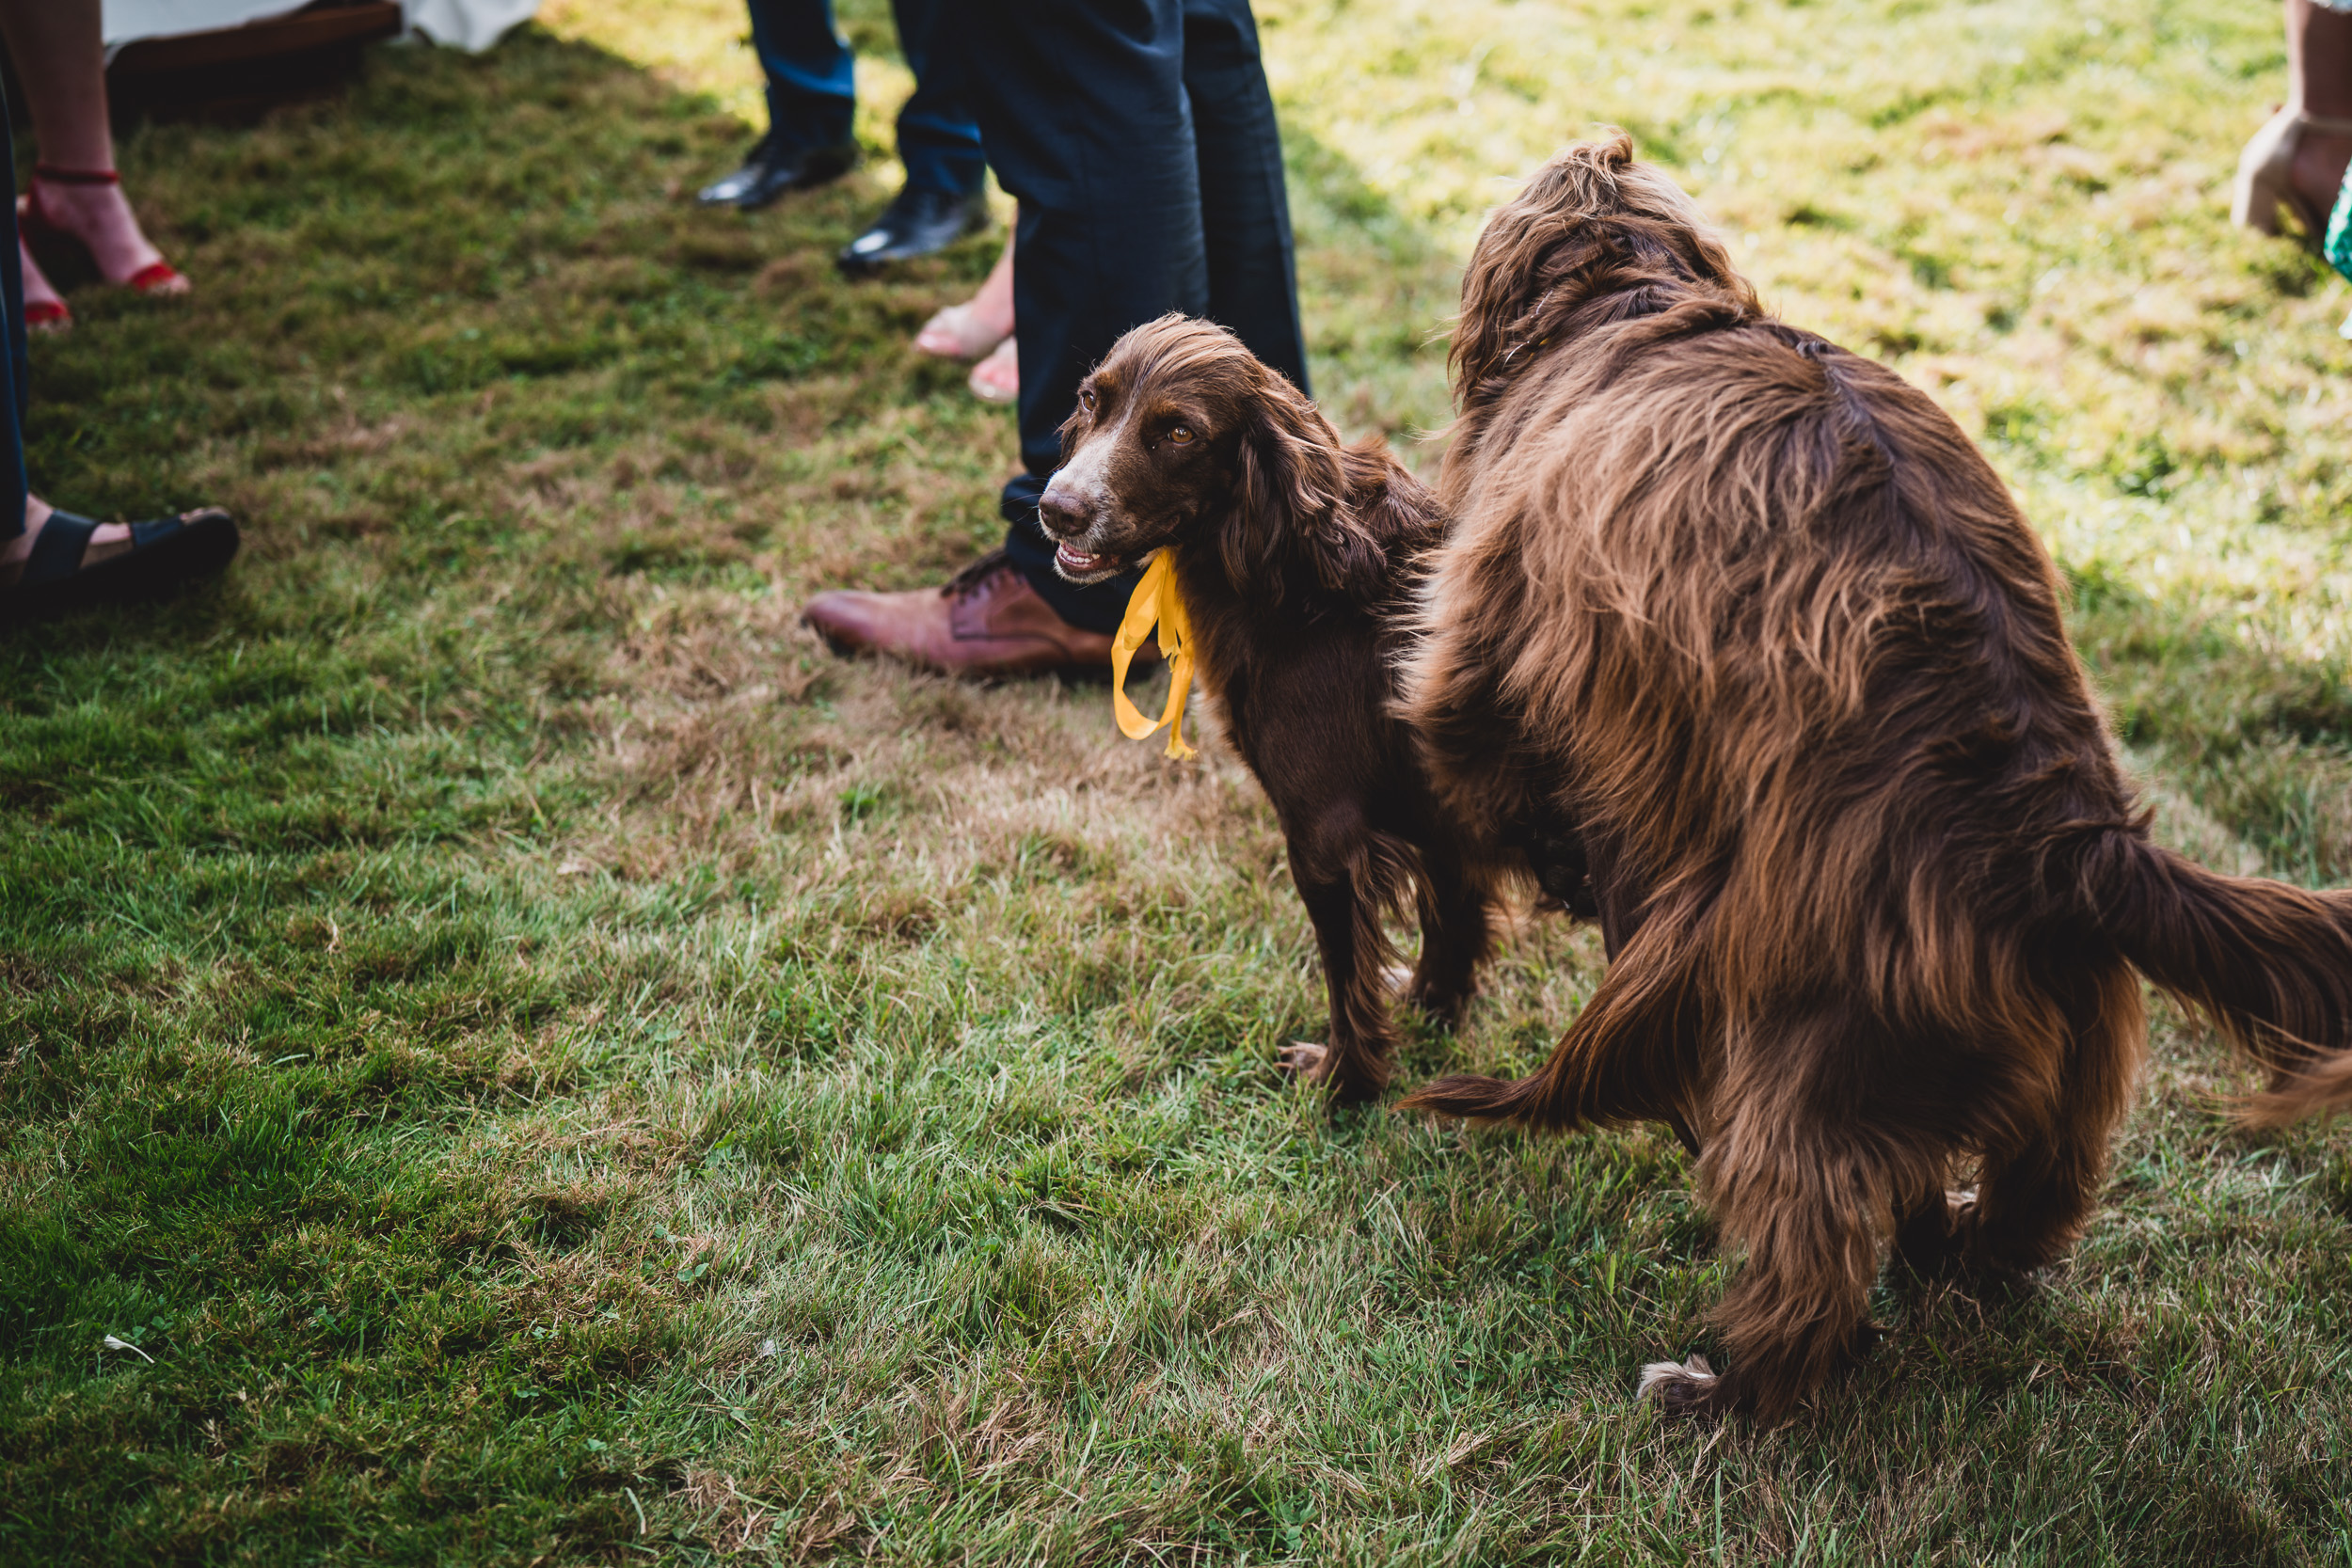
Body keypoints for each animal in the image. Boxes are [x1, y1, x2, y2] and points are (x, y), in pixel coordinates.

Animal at [1383, 140, 2352, 1429]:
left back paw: (1722, 1388)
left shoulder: (1486, 627)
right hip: (2066, 1064)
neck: (1634, 299)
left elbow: (1467, 748)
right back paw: (1952, 1249)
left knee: (1812, 1249)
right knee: (2016, 1211)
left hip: (1799, 1050)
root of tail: (2068, 837)